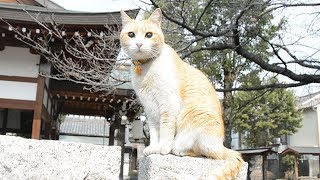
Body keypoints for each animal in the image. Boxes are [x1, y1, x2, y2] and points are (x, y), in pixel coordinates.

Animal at [121, 8, 244, 179]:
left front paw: (162, 148)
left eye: (149, 35)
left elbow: (165, 130)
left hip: (195, 123)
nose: (139, 43)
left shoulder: (167, 105)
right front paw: (153, 148)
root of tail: (221, 145)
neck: (145, 70)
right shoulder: (150, 109)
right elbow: (154, 132)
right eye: (131, 34)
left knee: (207, 154)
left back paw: (177, 151)